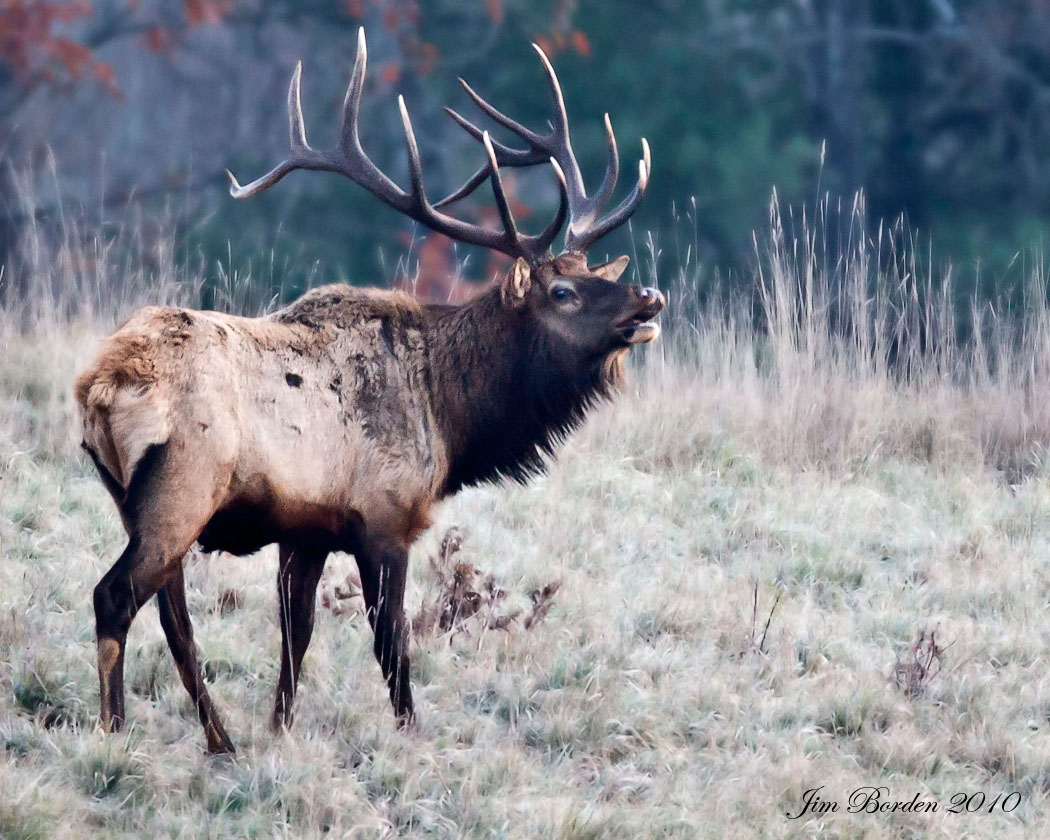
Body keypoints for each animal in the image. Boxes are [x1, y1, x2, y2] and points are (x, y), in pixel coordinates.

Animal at [75, 28, 663, 753]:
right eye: (562, 291)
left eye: (593, 273)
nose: (648, 296)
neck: (450, 416)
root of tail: (100, 387)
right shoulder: (385, 518)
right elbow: (391, 643)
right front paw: (412, 735)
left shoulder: (306, 530)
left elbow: (296, 636)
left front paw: (280, 730)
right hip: (180, 490)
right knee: (115, 598)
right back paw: (113, 733)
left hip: (137, 501)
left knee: (174, 620)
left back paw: (221, 739)